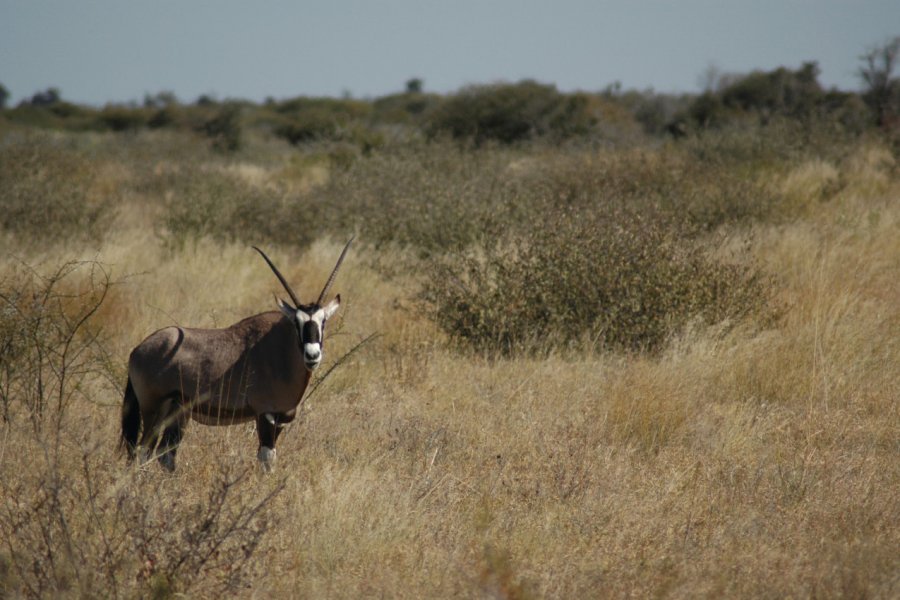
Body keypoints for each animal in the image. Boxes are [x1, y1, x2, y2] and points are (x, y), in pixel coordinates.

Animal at [121, 237, 354, 472]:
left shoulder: (280, 419)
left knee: (165, 454)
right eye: (297, 322)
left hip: (177, 412)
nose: (312, 355)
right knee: (142, 451)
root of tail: (137, 350)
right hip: (152, 410)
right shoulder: (265, 415)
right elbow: (267, 459)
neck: (282, 350)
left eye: (323, 321)